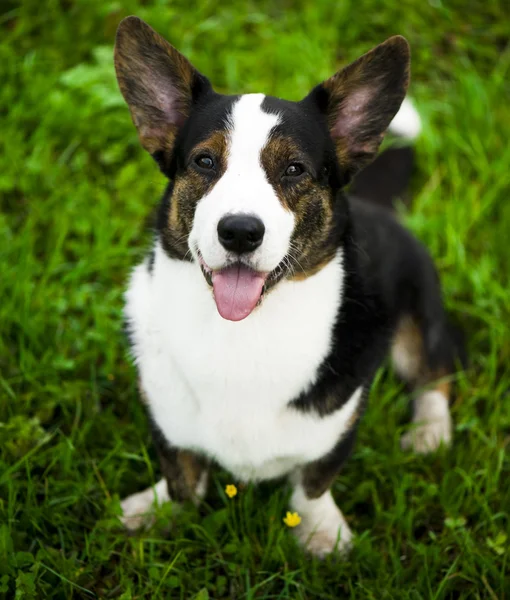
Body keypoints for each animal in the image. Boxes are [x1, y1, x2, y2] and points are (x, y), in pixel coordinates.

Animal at [115, 15, 462, 556]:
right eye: (204, 162)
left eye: (295, 169)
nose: (239, 231)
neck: (242, 332)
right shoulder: (164, 415)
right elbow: (182, 474)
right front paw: (157, 509)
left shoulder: (340, 422)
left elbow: (314, 479)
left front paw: (321, 534)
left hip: (417, 320)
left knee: (435, 370)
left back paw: (430, 431)